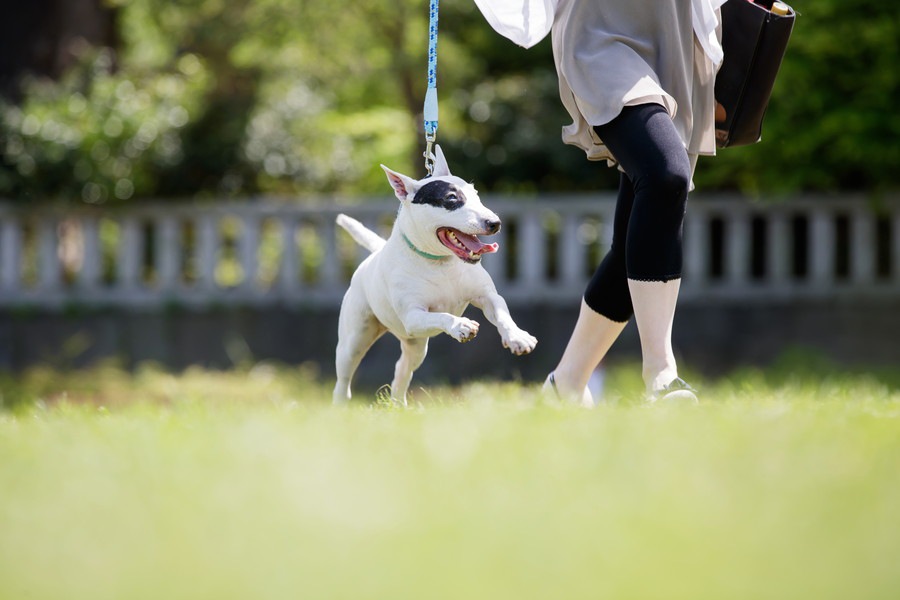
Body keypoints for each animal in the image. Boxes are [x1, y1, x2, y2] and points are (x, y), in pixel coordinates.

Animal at [334, 145, 536, 406]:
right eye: (451, 199)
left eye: (476, 194)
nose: (494, 223)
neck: (440, 262)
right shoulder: (413, 316)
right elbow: (442, 316)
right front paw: (460, 325)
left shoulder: (487, 296)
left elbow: (502, 313)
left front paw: (518, 337)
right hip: (356, 338)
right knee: (344, 377)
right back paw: (340, 404)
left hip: (415, 344)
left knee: (402, 369)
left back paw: (399, 405)